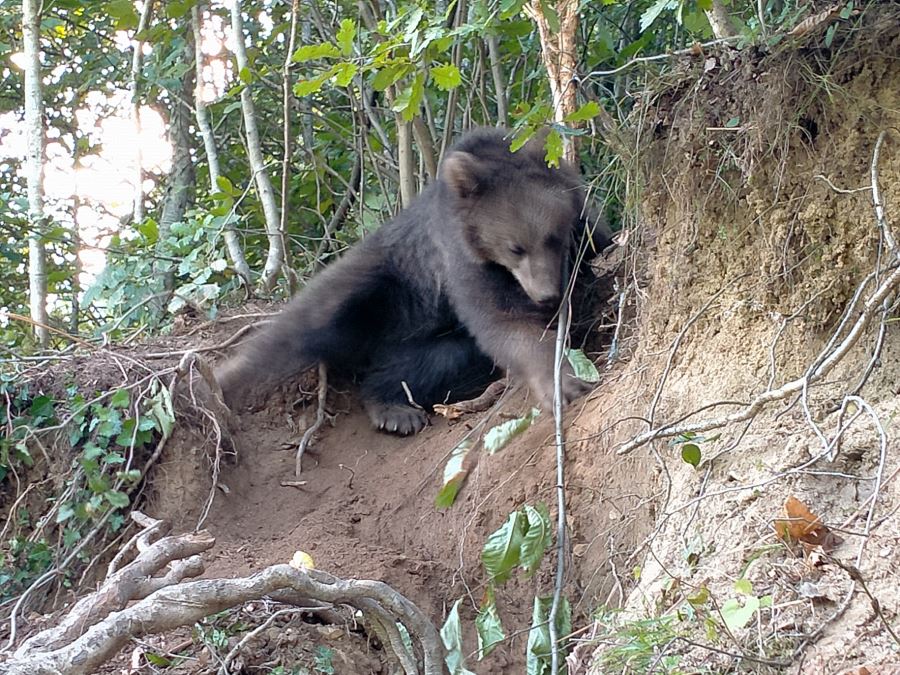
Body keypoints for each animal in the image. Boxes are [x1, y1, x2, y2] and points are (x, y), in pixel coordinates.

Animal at [218, 127, 608, 436]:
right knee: (300, 327)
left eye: (552, 238)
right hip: (373, 282)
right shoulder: (460, 259)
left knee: (437, 360)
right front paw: (562, 382)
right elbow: (502, 321)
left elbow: (599, 241)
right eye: (515, 248)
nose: (545, 295)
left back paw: (394, 407)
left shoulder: (582, 221)